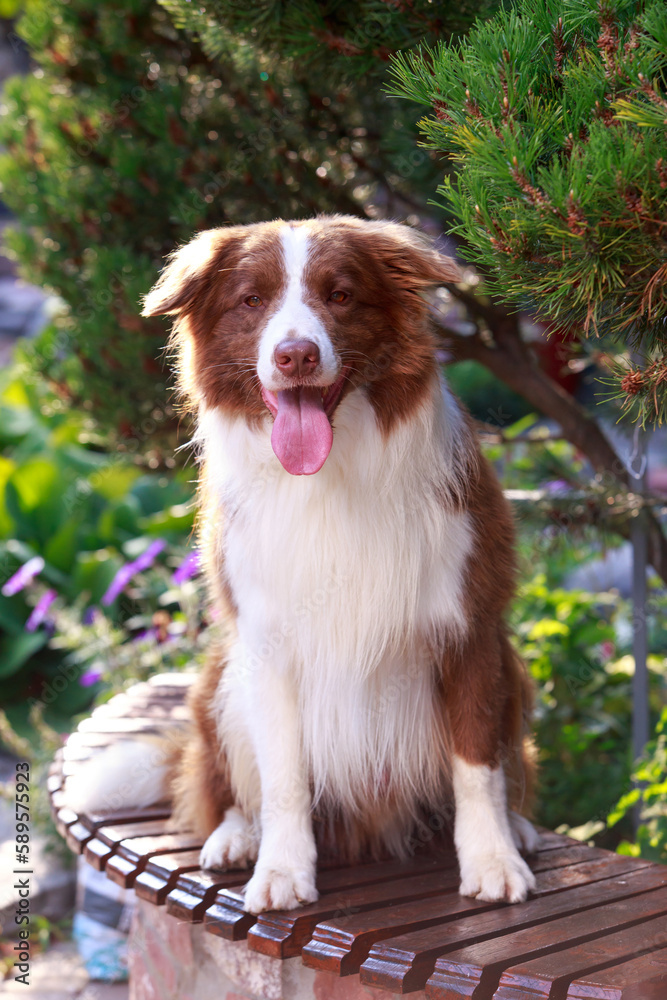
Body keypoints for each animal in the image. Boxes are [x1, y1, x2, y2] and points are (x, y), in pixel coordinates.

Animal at [66, 217, 536, 916]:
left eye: (339, 295)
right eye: (252, 301)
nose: (296, 357)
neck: (330, 475)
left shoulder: (472, 630)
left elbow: (478, 764)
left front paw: (492, 859)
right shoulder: (268, 643)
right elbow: (283, 775)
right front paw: (282, 870)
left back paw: (521, 827)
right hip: (220, 683)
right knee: (223, 787)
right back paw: (236, 838)